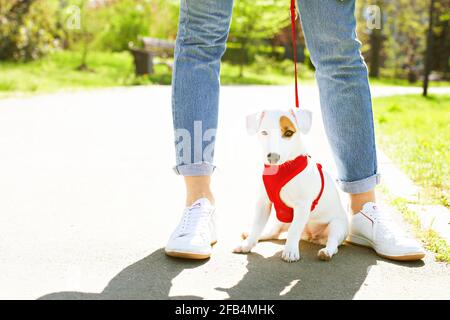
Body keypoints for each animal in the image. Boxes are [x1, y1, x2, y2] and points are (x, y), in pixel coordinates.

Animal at [234, 109, 350, 262]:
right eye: (264, 132)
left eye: (289, 133)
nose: (273, 157)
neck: (281, 169)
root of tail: (312, 237)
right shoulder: (263, 203)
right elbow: (257, 227)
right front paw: (247, 245)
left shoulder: (302, 206)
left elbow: (294, 231)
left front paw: (290, 251)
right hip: (282, 222)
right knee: (274, 233)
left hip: (337, 226)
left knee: (333, 242)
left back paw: (326, 252)